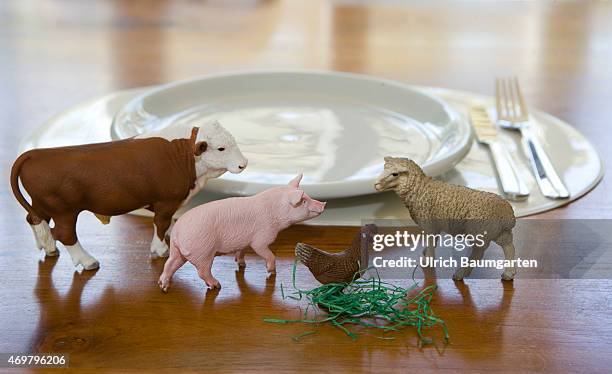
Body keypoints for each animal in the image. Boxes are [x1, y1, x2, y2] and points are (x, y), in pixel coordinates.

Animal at [160, 174, 328, 290]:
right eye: (303, 201)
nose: (324, 204)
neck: (275, 212)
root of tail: (177, 232)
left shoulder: (244, 240)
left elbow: (241, 251)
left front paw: (241, 264)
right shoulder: (261, 238)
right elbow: (267, 253)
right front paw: (272, 271)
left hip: (179, 251)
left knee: (170, 263)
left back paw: (163, 286)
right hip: (202, 251)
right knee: (202, 271)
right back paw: (216, 285)